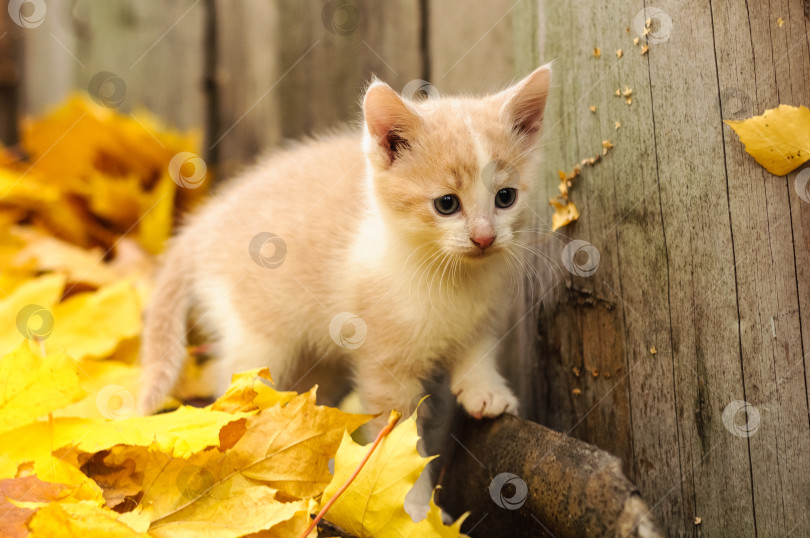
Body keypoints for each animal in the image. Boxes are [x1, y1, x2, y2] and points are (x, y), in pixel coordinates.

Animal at [137, 63, 548, 428]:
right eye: (446, 204)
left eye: (506, 197)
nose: (484, 237)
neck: (454, 277)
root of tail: (202, 224)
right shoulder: (383, 363)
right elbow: (393, 432)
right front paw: (401, 467)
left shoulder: (483, 316)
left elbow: (478, 351)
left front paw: (486, 391)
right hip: (257, 334)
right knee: (236, 379)